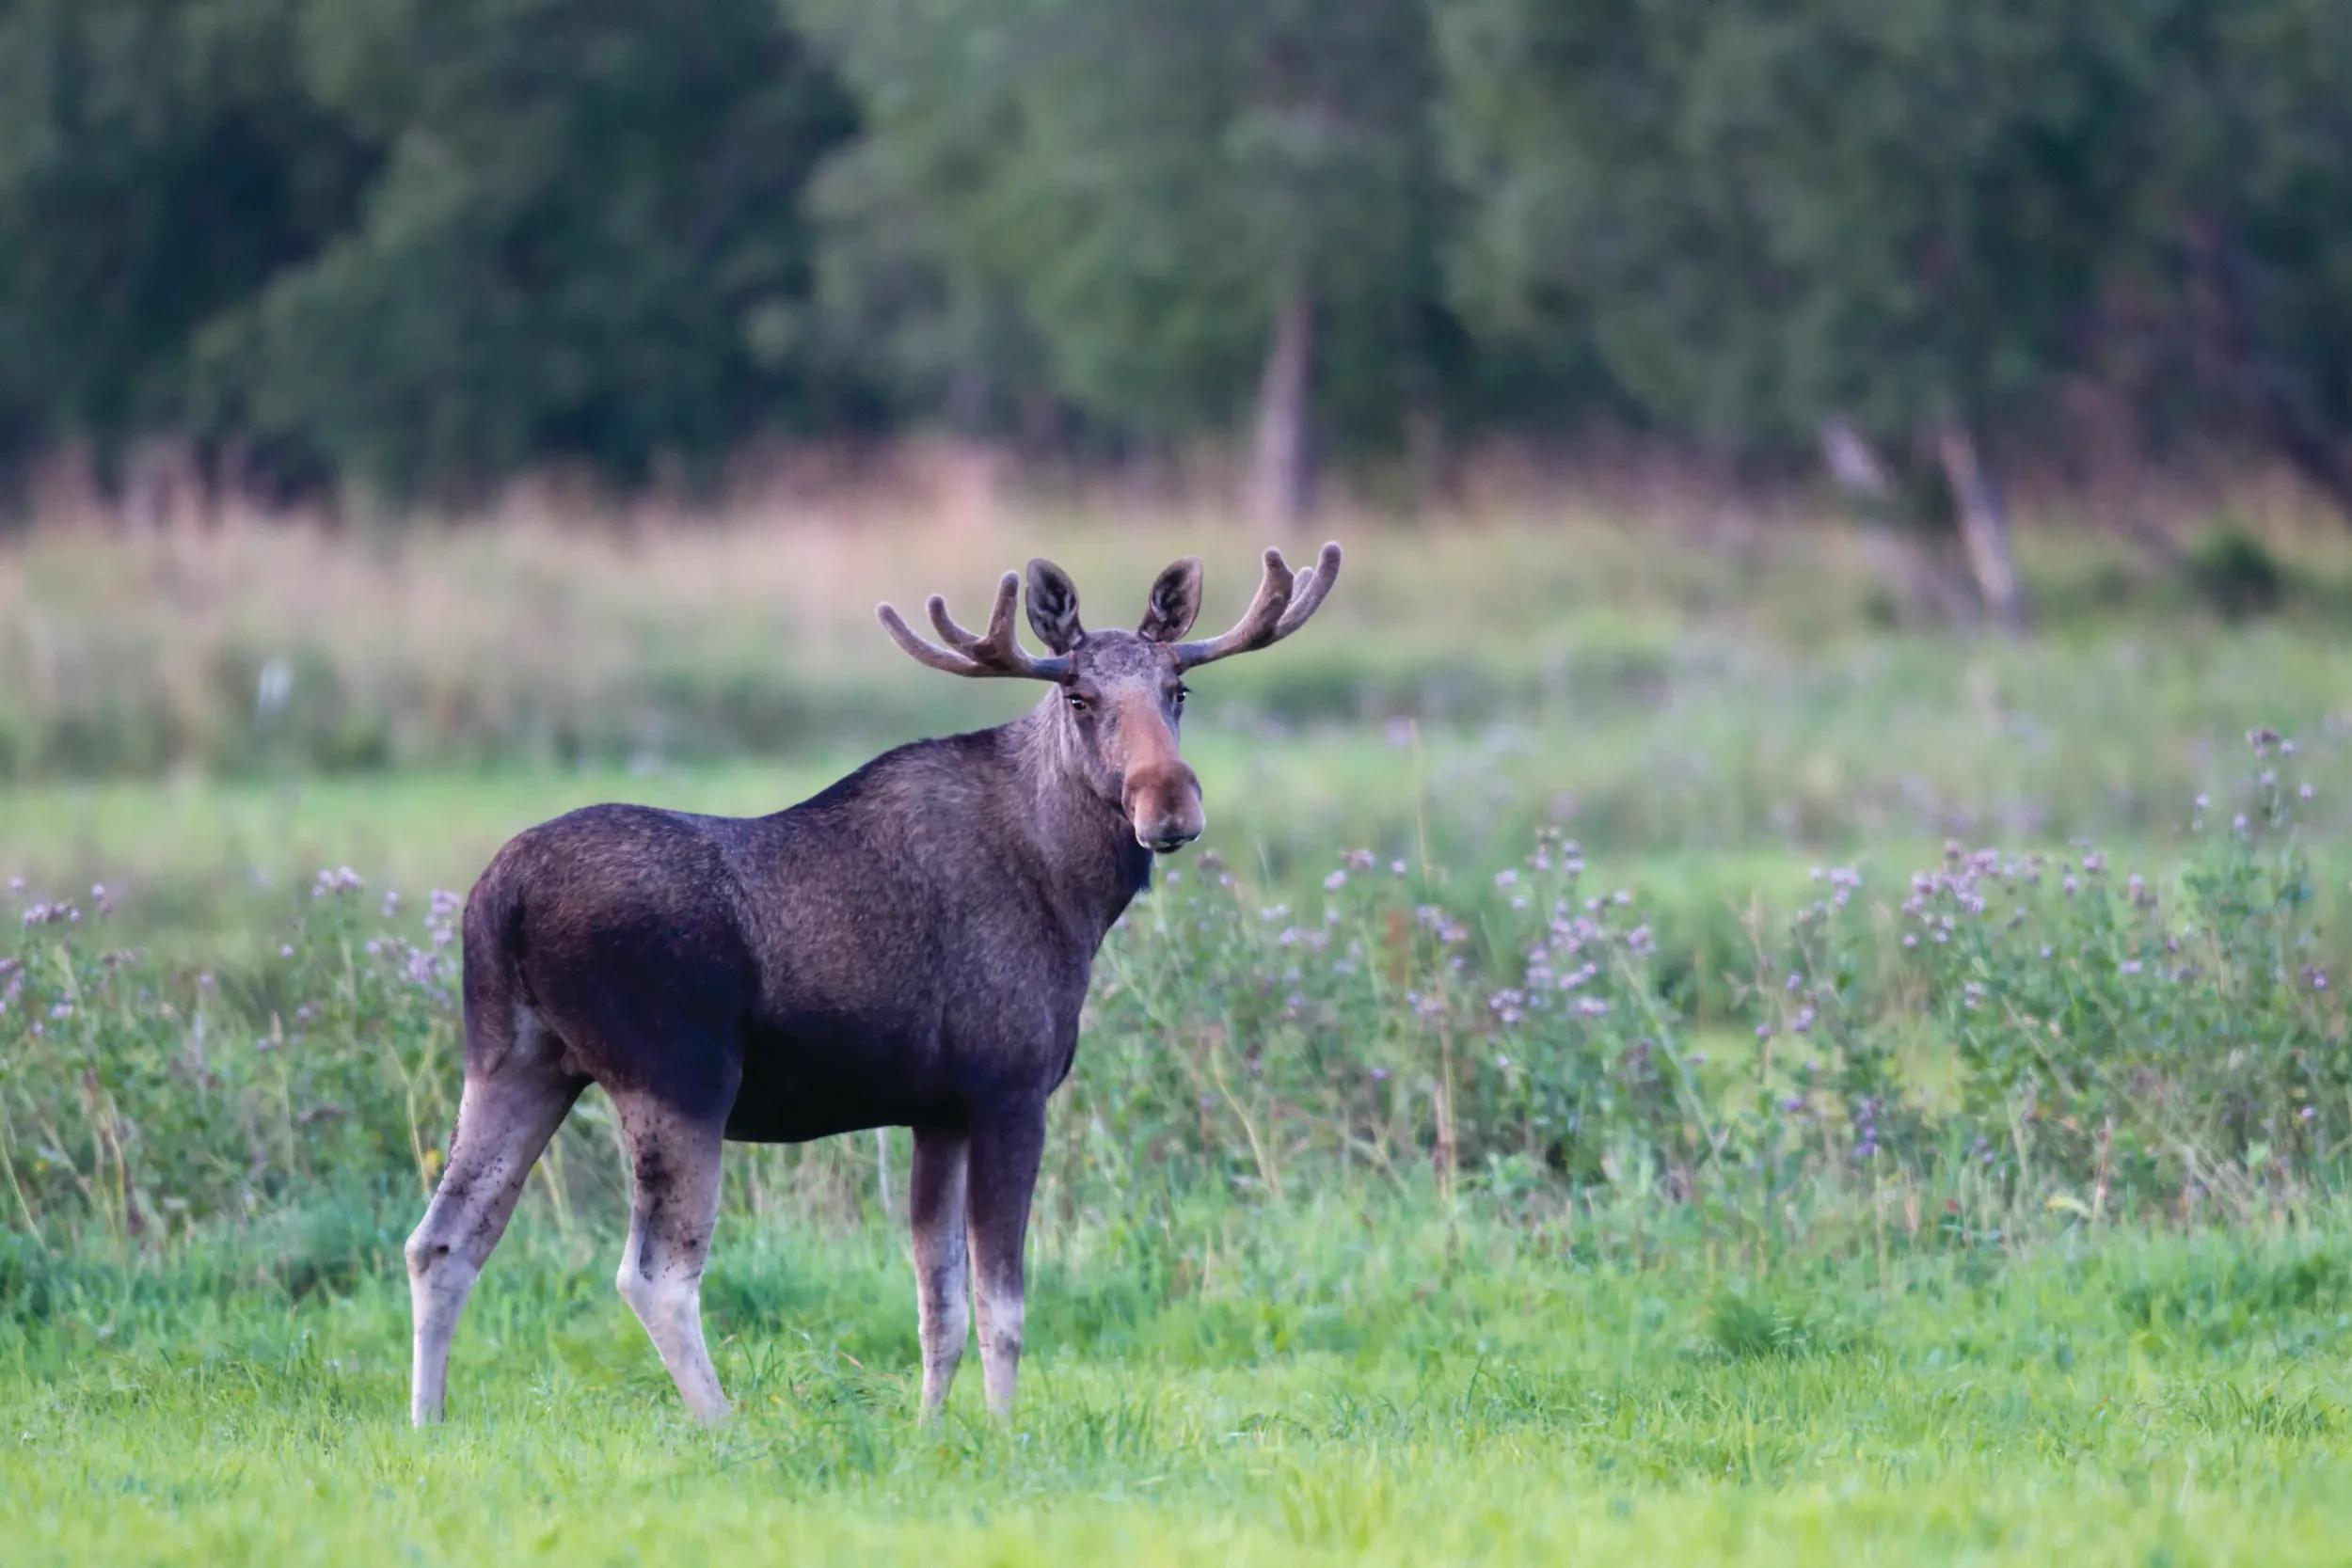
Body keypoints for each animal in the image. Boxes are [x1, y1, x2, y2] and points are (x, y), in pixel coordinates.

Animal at [404, 543, 1341, 1427]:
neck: (1075, 891)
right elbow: (1004, 1306)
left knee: (442, 1240)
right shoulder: (1009, 1089)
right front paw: (1005, 1434)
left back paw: (430, 1422)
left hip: (516, 1061)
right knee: (655, 1274)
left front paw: (931, 1433)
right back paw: (726, 1427)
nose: (1169, 804)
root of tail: (502, 898)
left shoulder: (938, 1111)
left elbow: (940, 1307)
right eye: (1079, 697)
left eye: (1178, 689)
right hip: (676, 1079)